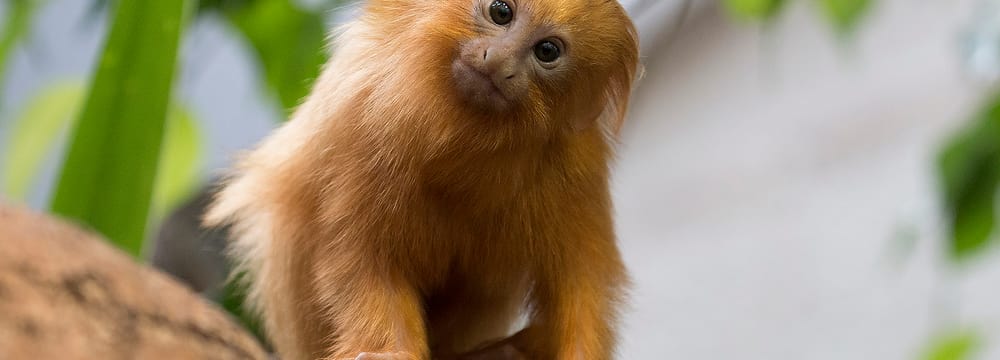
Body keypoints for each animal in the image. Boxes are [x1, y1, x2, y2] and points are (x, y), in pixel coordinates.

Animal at [204, 0, 640, 360]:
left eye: (547, 51)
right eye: (501, 11)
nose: (499, 59)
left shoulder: (576, 171)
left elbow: (581, 286)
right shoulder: (369, 126)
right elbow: (366, 262)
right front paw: (386, 352)